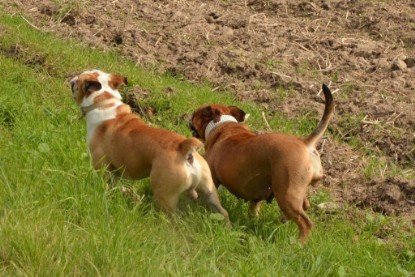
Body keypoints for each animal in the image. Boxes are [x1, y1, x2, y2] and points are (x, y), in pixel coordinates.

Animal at [69, 69, 229, 222]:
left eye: (77, 81)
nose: (71, 78)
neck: (103, 101)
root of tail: (185, 148)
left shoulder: (101, 165)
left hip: (165, 195)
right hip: (209, 190)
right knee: (223, 211)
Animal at [188, 84, 334, 242]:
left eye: (195, 114)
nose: (189, 119)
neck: (223, 124)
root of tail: (305, 144)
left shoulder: (212, 179)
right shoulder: (256, 193)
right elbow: (254, 207)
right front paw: (253, 220)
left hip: (287, 194)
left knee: (305, 223)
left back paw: (298, 243)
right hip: (294, 190)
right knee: (304, 205)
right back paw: (283, 219)